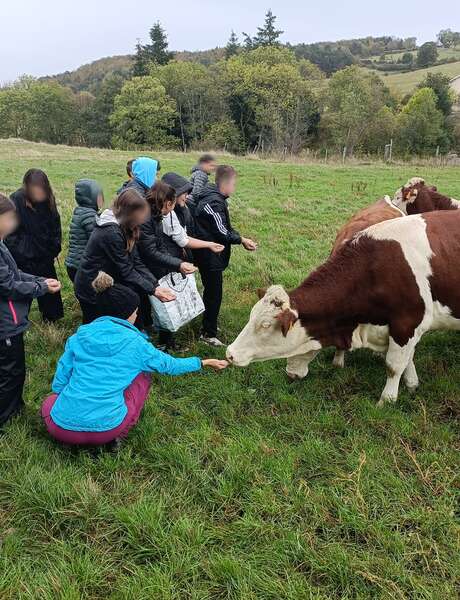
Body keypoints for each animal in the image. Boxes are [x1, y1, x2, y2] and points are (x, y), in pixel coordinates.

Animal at [228, 210, 460, 404]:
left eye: (265, 325)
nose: (229, 353)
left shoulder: (407, 322)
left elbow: (394, 366)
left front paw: (386, 401)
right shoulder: (403, 328)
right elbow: (407, 358)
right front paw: (412, 384)